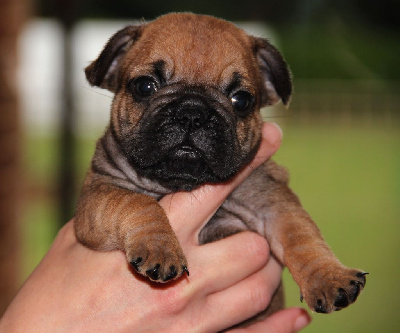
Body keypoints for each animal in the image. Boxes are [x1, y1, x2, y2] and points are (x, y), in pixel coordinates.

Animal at [74, 12, 366, 314]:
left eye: (241, 100)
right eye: (145, 86)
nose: (191, 113)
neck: (182, 184)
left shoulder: (274, 204)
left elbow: (302, 236)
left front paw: (329, 277)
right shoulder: (98, 196)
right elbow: (137, 202)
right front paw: (160, 248)